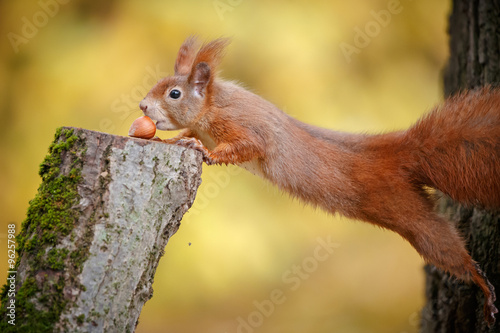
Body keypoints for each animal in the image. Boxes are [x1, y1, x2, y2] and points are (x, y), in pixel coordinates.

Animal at [138, 37, 500, 324]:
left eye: (174, 93)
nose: (142, 105)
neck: (213, 103)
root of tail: (402, 153)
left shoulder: (243, 126)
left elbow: (246, 146)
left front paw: (201, 149)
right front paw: (177, 140)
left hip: (409, 216)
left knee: (444, 245)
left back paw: (483, 287)